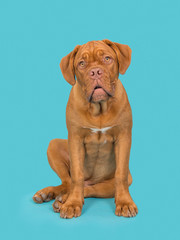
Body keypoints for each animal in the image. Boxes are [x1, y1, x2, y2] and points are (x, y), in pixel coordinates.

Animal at [32, 39, 138, 218]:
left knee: (91, 189)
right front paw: (72, 203)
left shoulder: (123, 137)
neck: (99, 108)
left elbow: (120, 174)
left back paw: (62, 199)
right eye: (82, 64)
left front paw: (125, 203)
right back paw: (52, 195)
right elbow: (77, 175)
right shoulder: (75, 139)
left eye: (107, 59)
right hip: (54, 145)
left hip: (108, 185)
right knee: (68, 182)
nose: (95, 72)